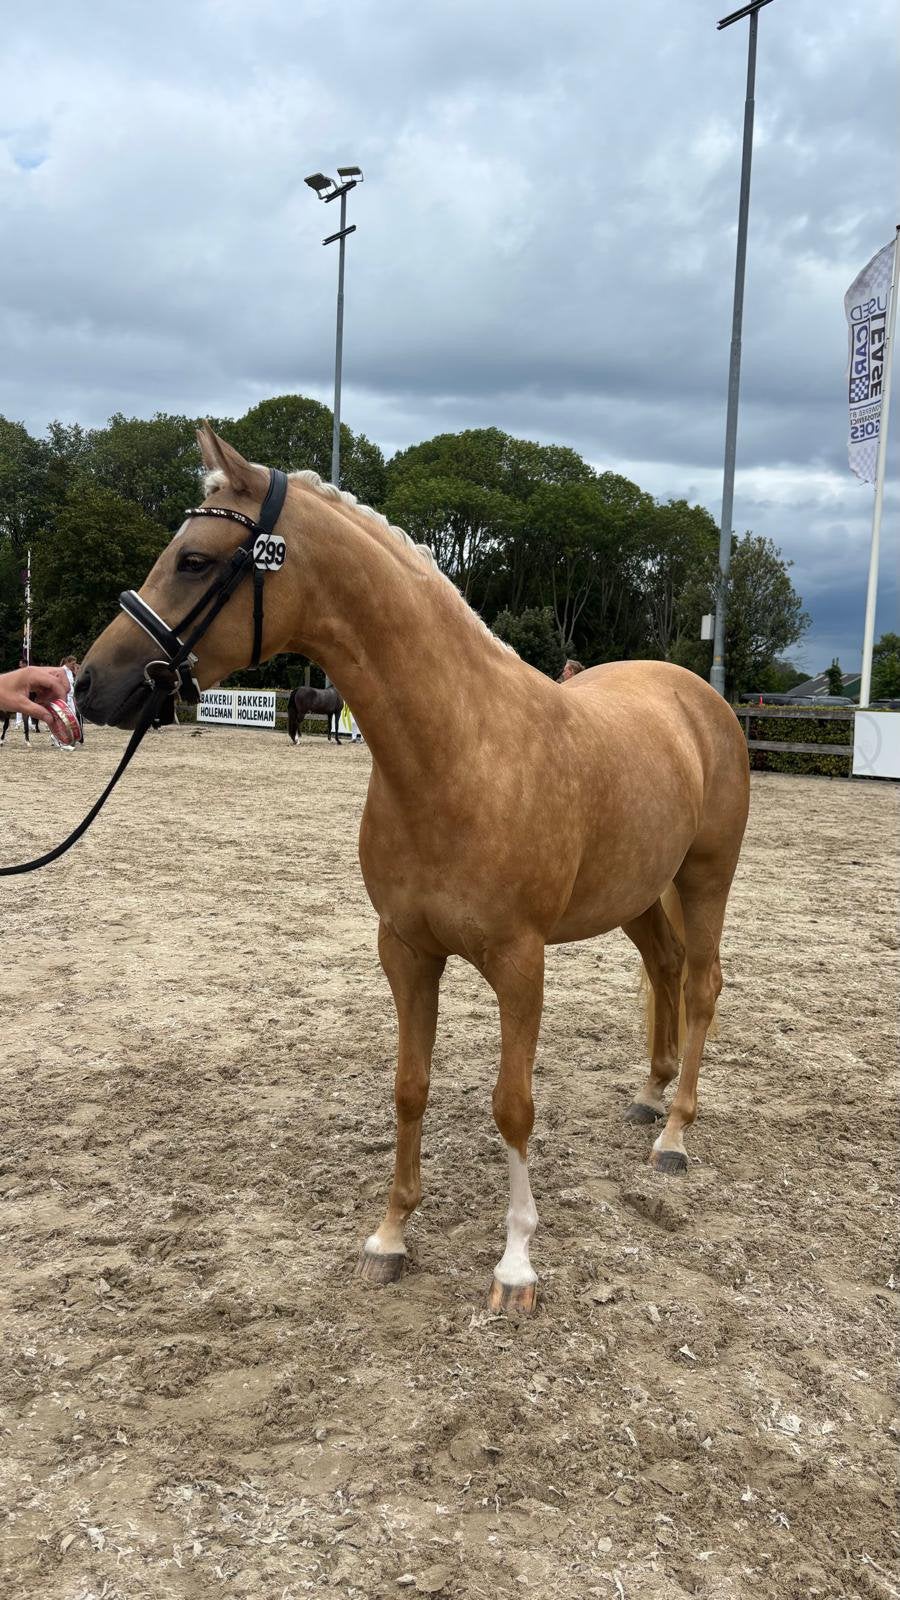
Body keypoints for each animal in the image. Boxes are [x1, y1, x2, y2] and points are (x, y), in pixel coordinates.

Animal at [76, 425, 750, 1316]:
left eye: (193, 560)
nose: (89, 683)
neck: (459, 751)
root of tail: (696, 696)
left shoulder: (519, 962)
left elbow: (512, 1105)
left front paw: (515, 1264)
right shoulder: (405, 949)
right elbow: (410, 1087)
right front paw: (390, 1237)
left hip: (706, 876)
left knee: (703, 984)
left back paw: (674, 1134)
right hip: (639, 893)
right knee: (667, 969)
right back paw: (648, 1098)